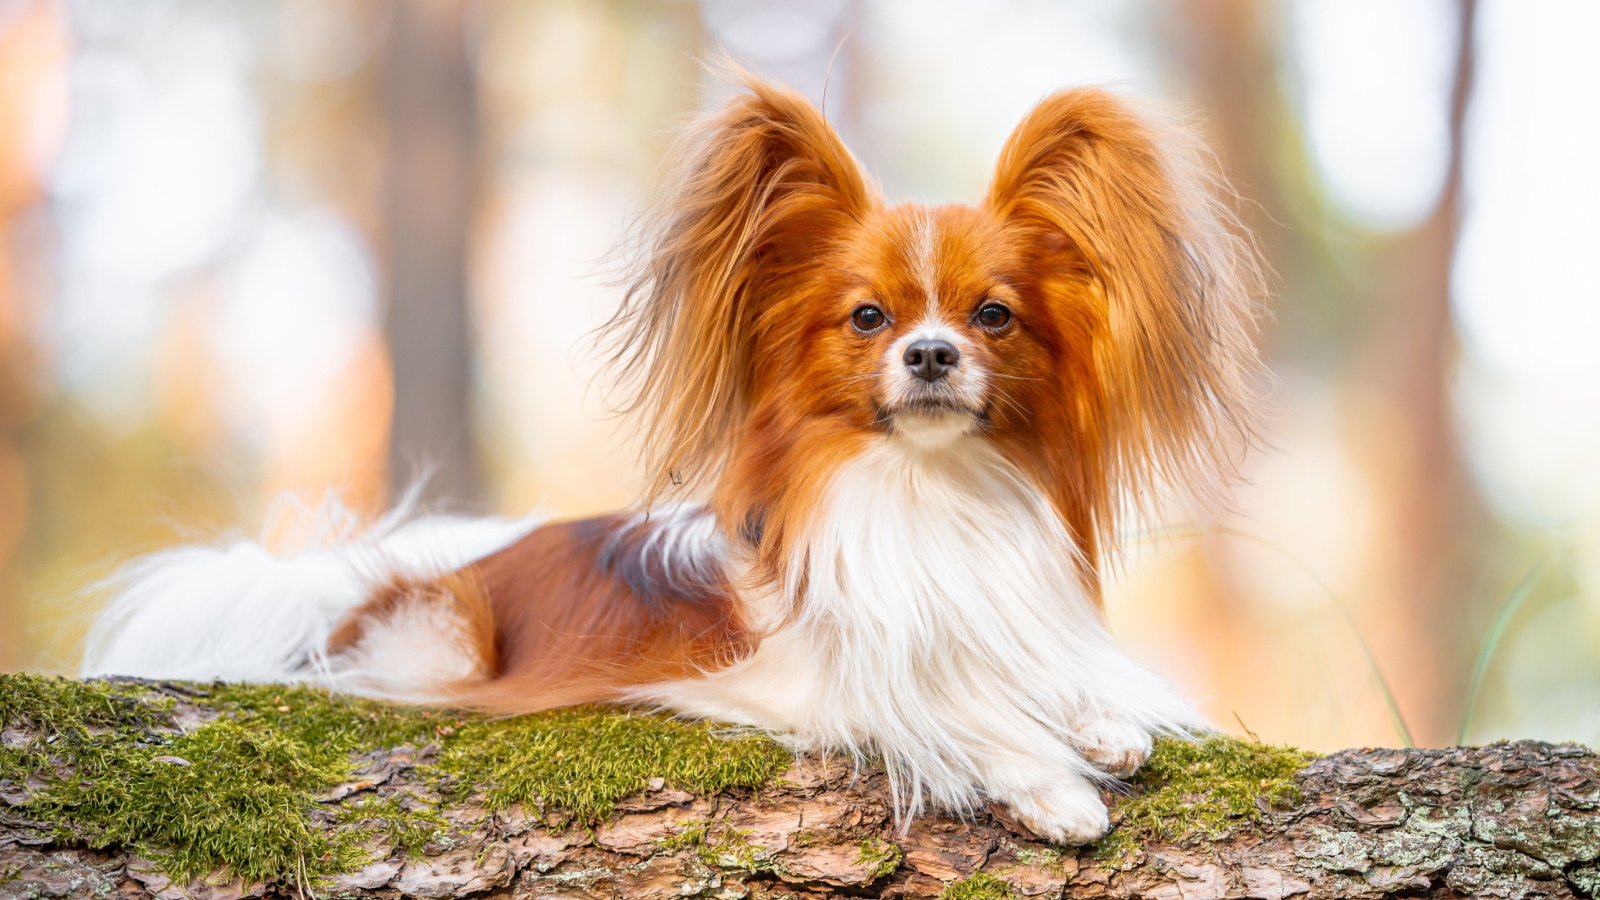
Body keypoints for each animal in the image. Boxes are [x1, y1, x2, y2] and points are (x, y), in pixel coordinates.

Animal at [84, 71, 1260, 839]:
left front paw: (1097, 722)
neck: (922, 490)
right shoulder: (787, 677)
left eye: (994, 317)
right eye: (868, 318)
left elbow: (1033, 677)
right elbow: (933, 705)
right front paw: (1047, 779)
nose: (931, 354)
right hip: (437, 644)